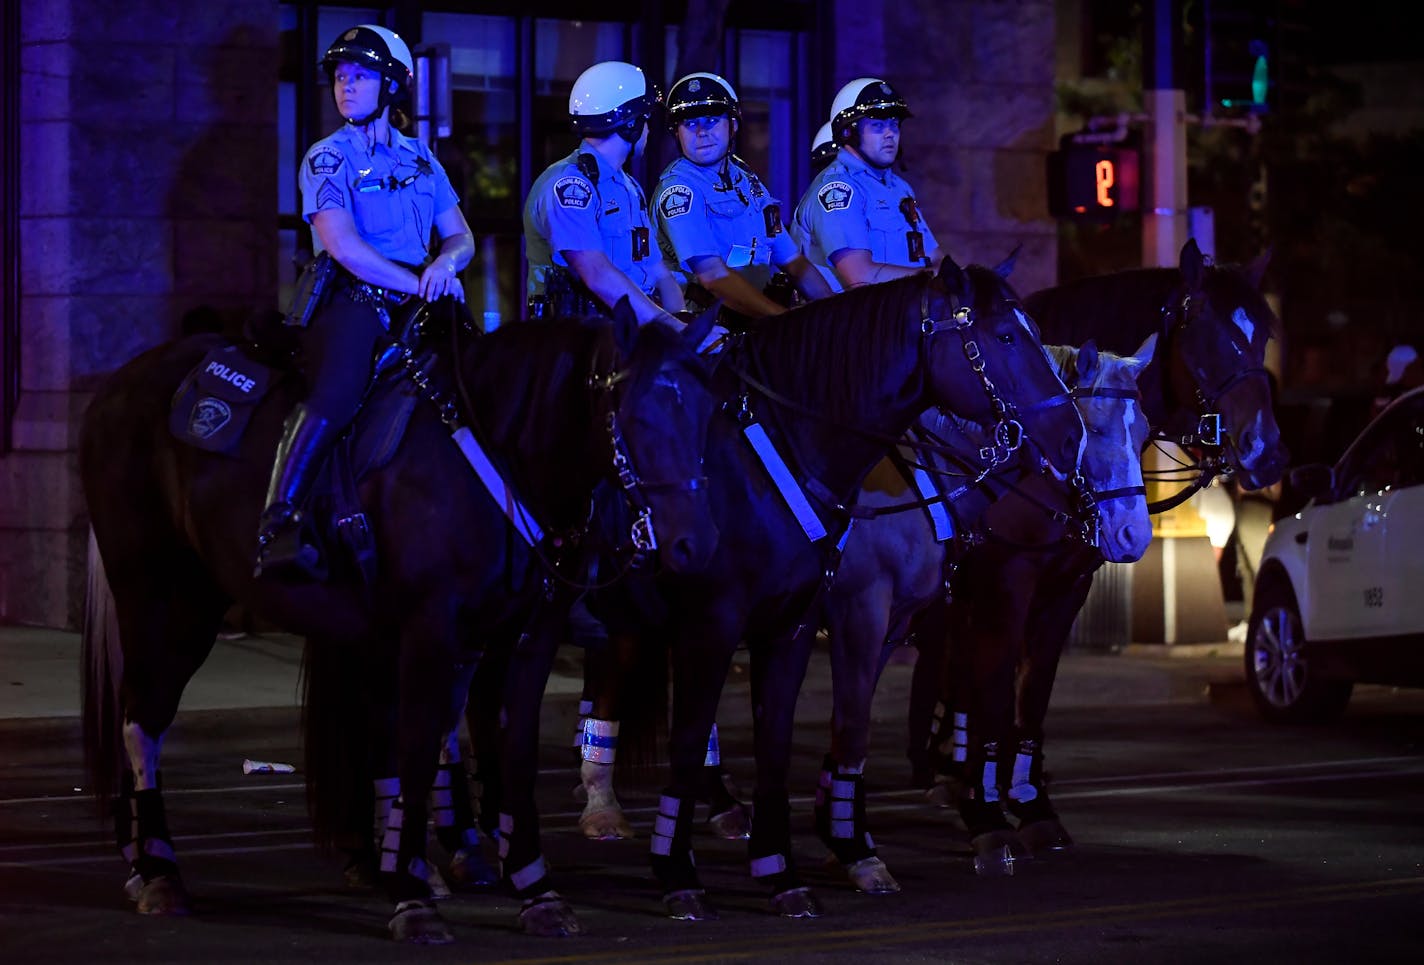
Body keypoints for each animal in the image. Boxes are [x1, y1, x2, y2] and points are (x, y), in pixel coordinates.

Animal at [77, 304, 717, 945]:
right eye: (639, 415)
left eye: (704, 416)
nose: (693, 545)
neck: (498, 455)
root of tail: (118, 383)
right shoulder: (429, 634)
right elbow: (415, 752)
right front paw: (412, 897)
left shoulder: (523, 640)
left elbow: (513, 754)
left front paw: (536, 889)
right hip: (166, 597)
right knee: (143, 721)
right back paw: (159, 872)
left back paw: (142, 863)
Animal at [572, 260, 1082, 927]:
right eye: (1004, 337)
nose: (1070, 433)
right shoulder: (728, 621)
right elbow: (705, 736)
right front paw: (680, 871)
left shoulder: (799, 623)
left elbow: (788, 739)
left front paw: (787, 866)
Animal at [911, 241, 1292, 859]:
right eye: (1205, 331)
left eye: (1262, 337)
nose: (1269, 453)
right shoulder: (1004, 582)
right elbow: (994, 685)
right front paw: (988, 810)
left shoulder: (1066, 585)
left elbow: (1032, 687)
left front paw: (1029, 801)